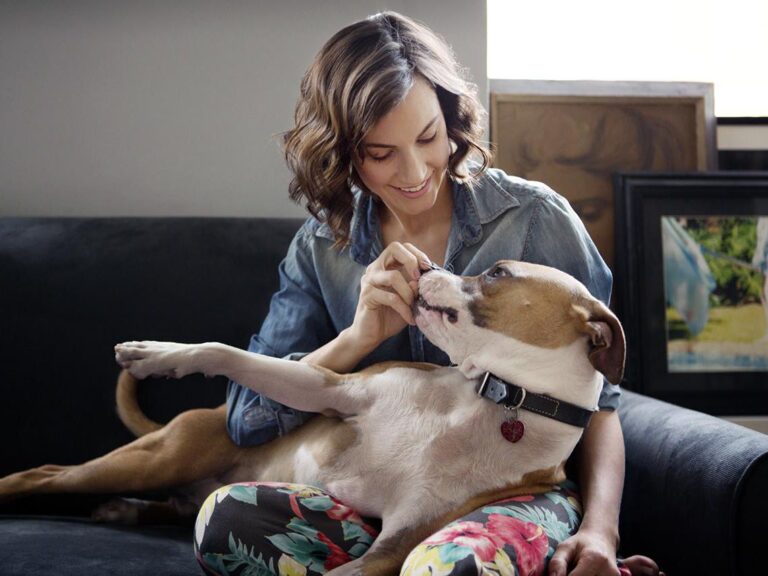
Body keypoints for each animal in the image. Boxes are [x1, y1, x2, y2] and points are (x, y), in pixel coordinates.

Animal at [0, 260, 625, 575]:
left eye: (495, 273)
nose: (426, 266)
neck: (496, 398)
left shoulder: (392, 547)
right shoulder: (332, 389)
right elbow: (234, 355)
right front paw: (161, 355)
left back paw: (123, 511)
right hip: (154, 458)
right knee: (45, 475)